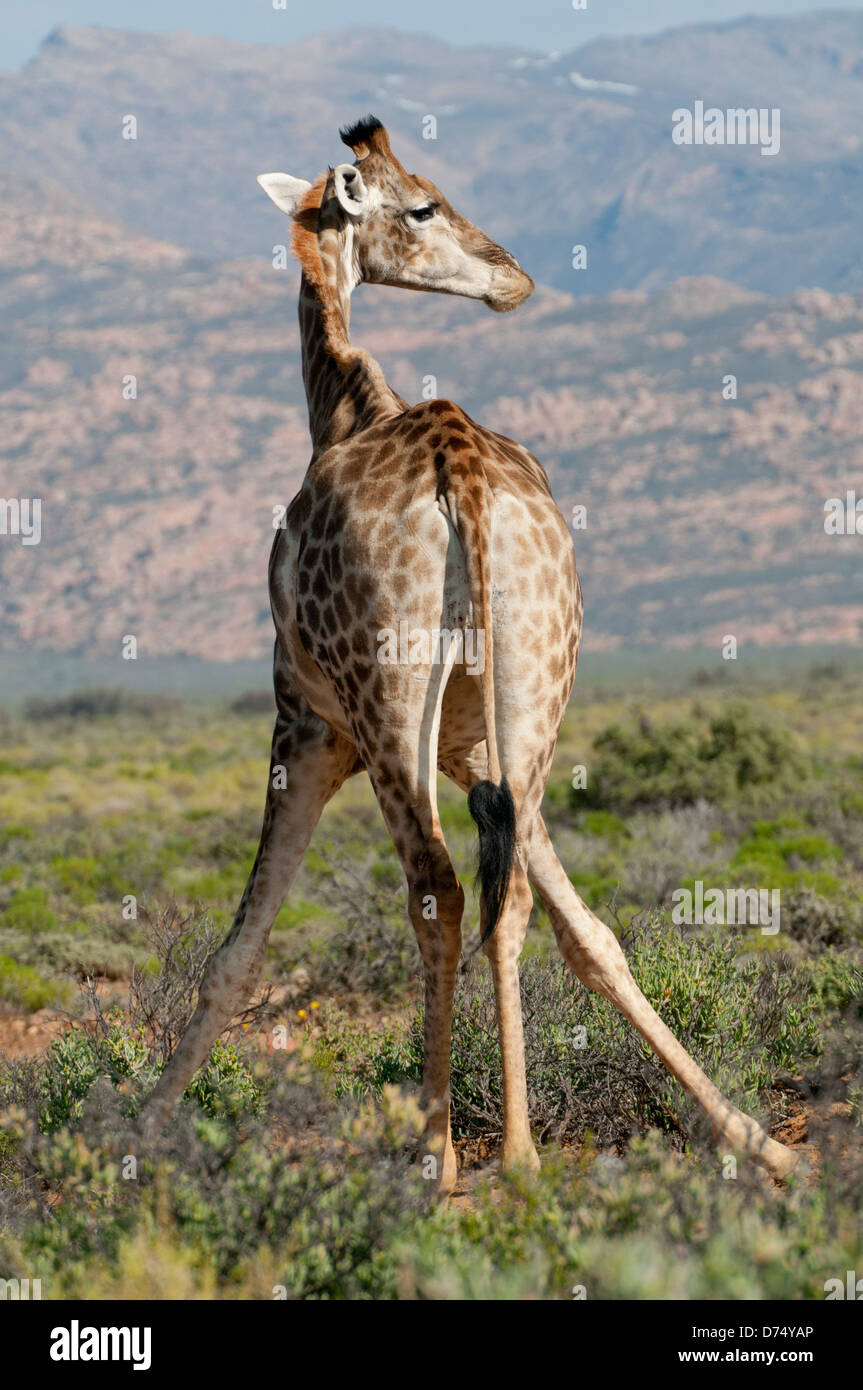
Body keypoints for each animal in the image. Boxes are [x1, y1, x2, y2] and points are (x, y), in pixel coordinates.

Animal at [140, 117, 798, 1192]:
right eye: (422, 206)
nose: (512, 276)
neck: (344, 404)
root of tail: (458, 468)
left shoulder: (305, 722)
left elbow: (238, 947)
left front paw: (133, 1126)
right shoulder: (474, 747)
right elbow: (589, 934)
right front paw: (745, 1133)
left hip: (384, 700)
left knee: (438, 889)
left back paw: (437, 1150)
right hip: (534, 681)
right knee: (513, 895)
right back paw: (526, 1151)